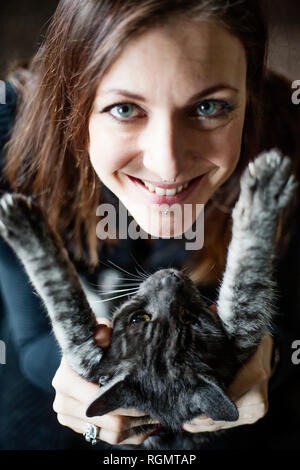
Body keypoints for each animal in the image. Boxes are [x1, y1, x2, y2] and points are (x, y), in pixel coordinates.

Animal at [0, 150, 296, 448]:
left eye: (190, 320)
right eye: (138, 318)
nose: (170, 279)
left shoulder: (241, 337)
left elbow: (248, 268)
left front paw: (266, 190)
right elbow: (61, 292)